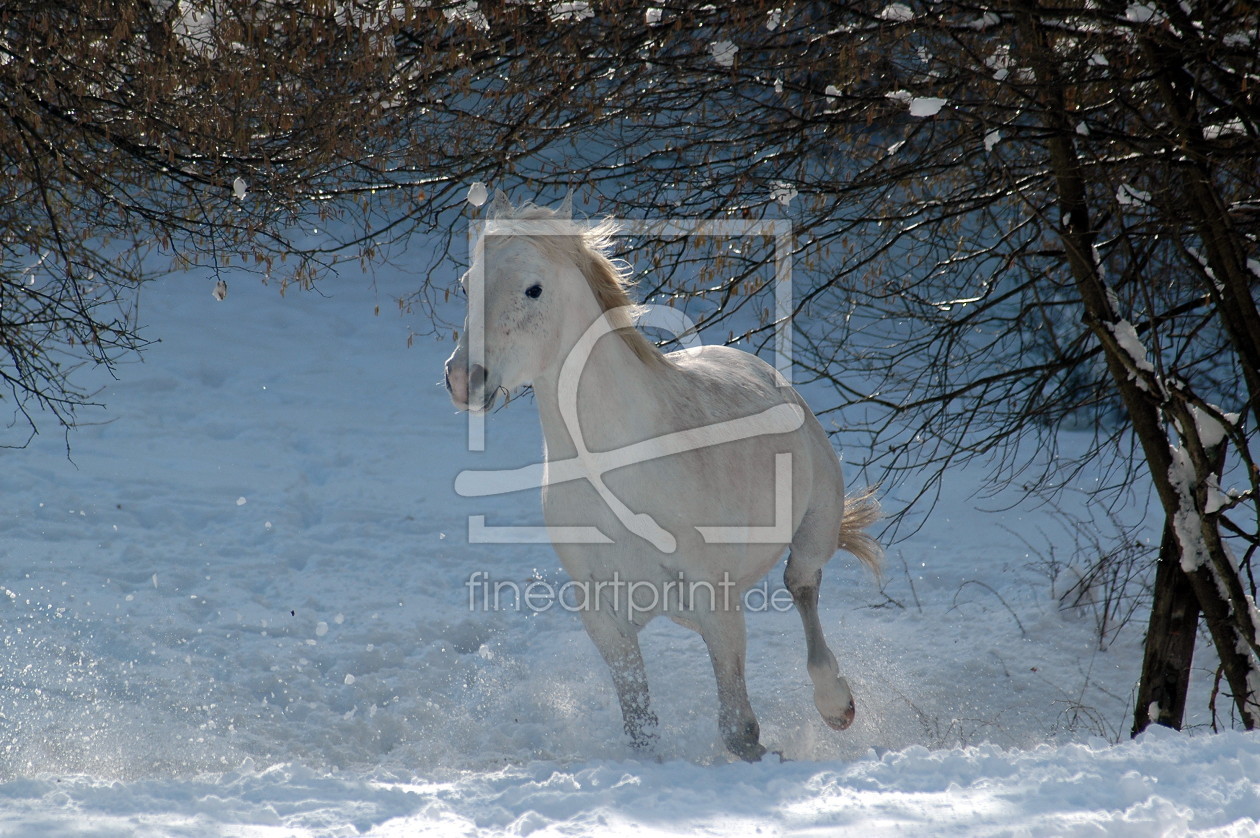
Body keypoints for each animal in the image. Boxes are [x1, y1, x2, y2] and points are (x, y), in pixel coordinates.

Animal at [448, 197, 882, 756]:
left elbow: (740, 731)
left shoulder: (715, 601)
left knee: (802, 586)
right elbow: (642, 731)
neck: (617, 475)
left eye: (533, 289)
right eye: (466, 285)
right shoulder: (606, 619)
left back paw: (836, 704)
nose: (463, 379)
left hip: (813, 534)